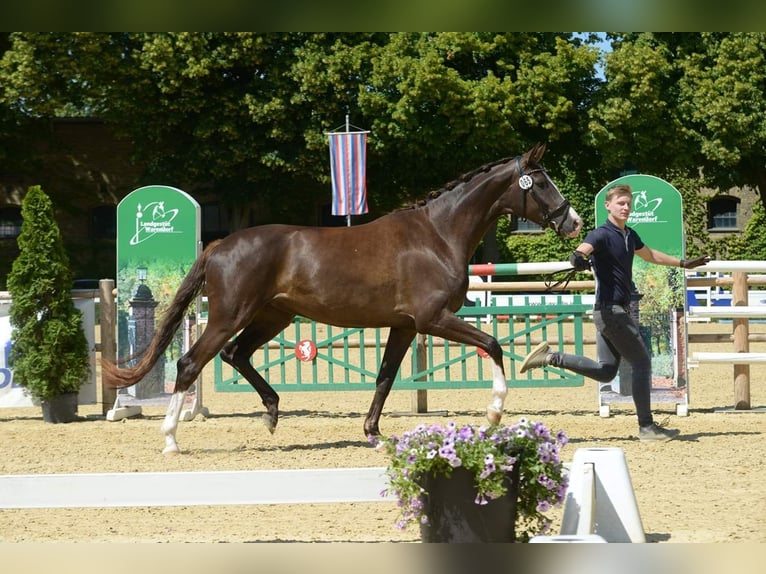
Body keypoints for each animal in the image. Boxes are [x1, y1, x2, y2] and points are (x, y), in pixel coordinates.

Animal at [102, 143, 583, 454]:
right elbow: (494, 344)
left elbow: (385, 378)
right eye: (541, 183)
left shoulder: (404, 326)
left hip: (272, 317)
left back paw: (271, 414)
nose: (574, 222)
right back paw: (170, 439)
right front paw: (495, 412)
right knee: (191, 363)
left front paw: (373, 433)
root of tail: (219, 245)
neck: (436, 235)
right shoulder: (433, 318)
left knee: (236, 356)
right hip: (229, 316)